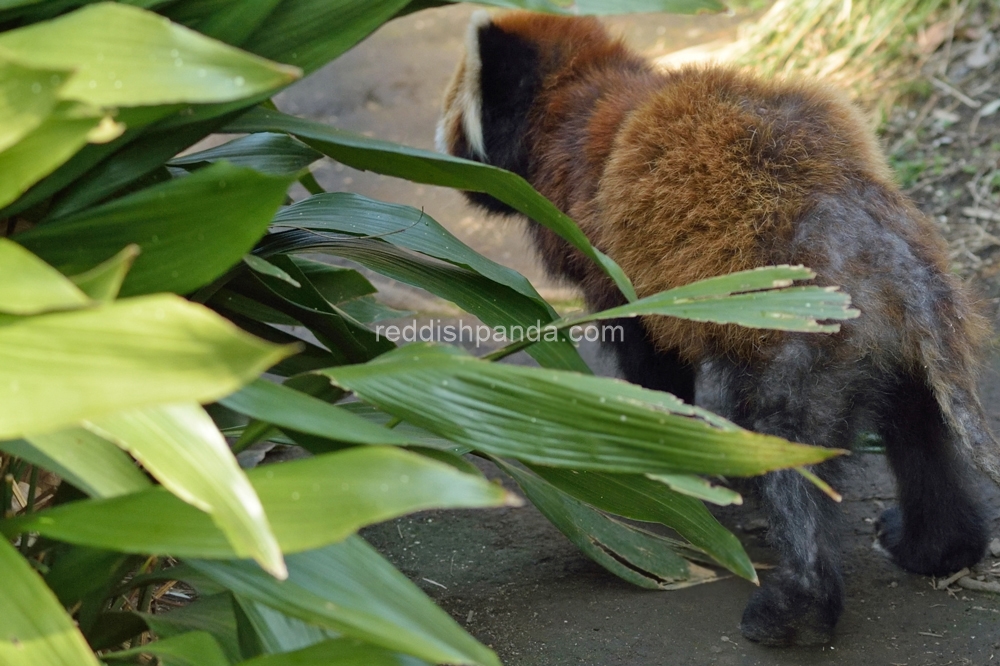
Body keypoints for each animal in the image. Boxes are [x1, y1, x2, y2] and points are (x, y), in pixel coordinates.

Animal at [440, 7, 1000, 644]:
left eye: (452, 113)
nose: (436, 147)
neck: (576, 98)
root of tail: (894, 250)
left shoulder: (616, 266)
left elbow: (652, 363)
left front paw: (660, 452)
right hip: (903, 351)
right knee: (920, 437)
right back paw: (936, 547)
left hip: (810, 347)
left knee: (790, 445)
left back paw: (794, 609)